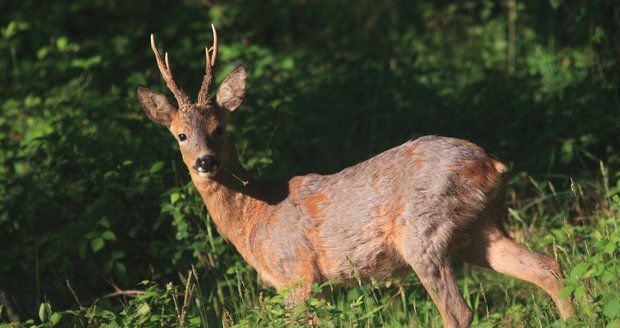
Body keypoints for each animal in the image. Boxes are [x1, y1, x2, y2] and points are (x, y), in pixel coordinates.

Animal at [138, 26, 572, 328]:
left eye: (220, 128)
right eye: (180, 134)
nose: (205, 161)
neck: (253, 216)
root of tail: (492, 165)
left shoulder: (296, 275)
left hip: (423, 231)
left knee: (457, 311)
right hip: (479, 231)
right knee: (547, 267)